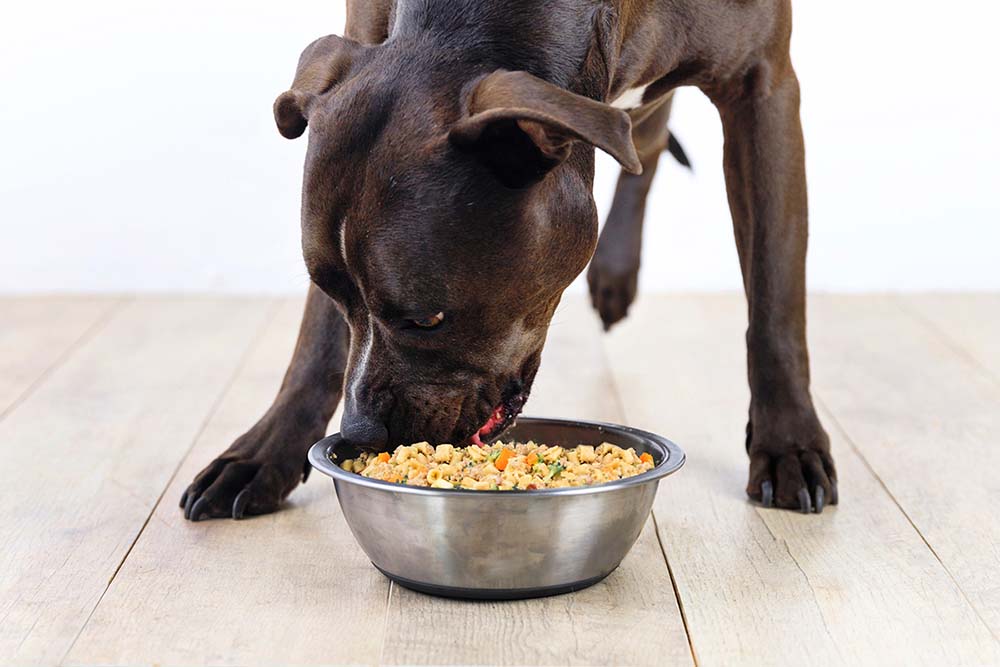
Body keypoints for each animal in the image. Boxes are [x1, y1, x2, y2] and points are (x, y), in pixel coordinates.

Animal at [178, 0, 836, 520]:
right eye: (336, 295)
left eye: (428, 318)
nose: (361, 433)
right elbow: (316, 343)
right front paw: (264, 453)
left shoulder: (764, 86)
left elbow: (776, 295)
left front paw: (789, 443)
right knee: (641, 138)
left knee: (643, 141)